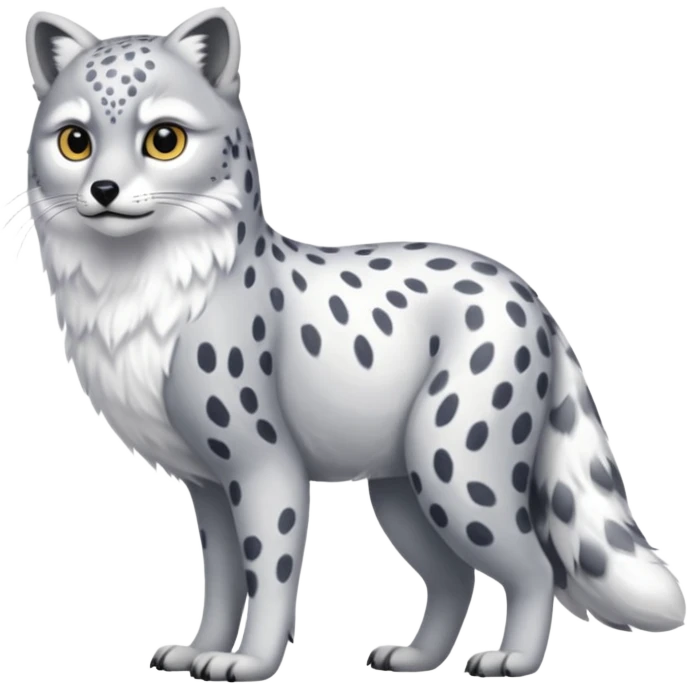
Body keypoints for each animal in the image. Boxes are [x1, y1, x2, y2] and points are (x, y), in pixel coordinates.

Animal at [18, 7, 686, 682]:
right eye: (75, 141)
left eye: (164, 139)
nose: (103, 190)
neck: (143, 289)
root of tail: (526, 292)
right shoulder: (206, 485)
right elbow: (224, 580)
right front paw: (200, 648)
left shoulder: (263, 464)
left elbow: (269, 571)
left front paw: (250, 662)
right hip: (402, 489)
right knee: (455, 578)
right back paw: (416, 657)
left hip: (453, 470)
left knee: (533, 565)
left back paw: (515, 658)